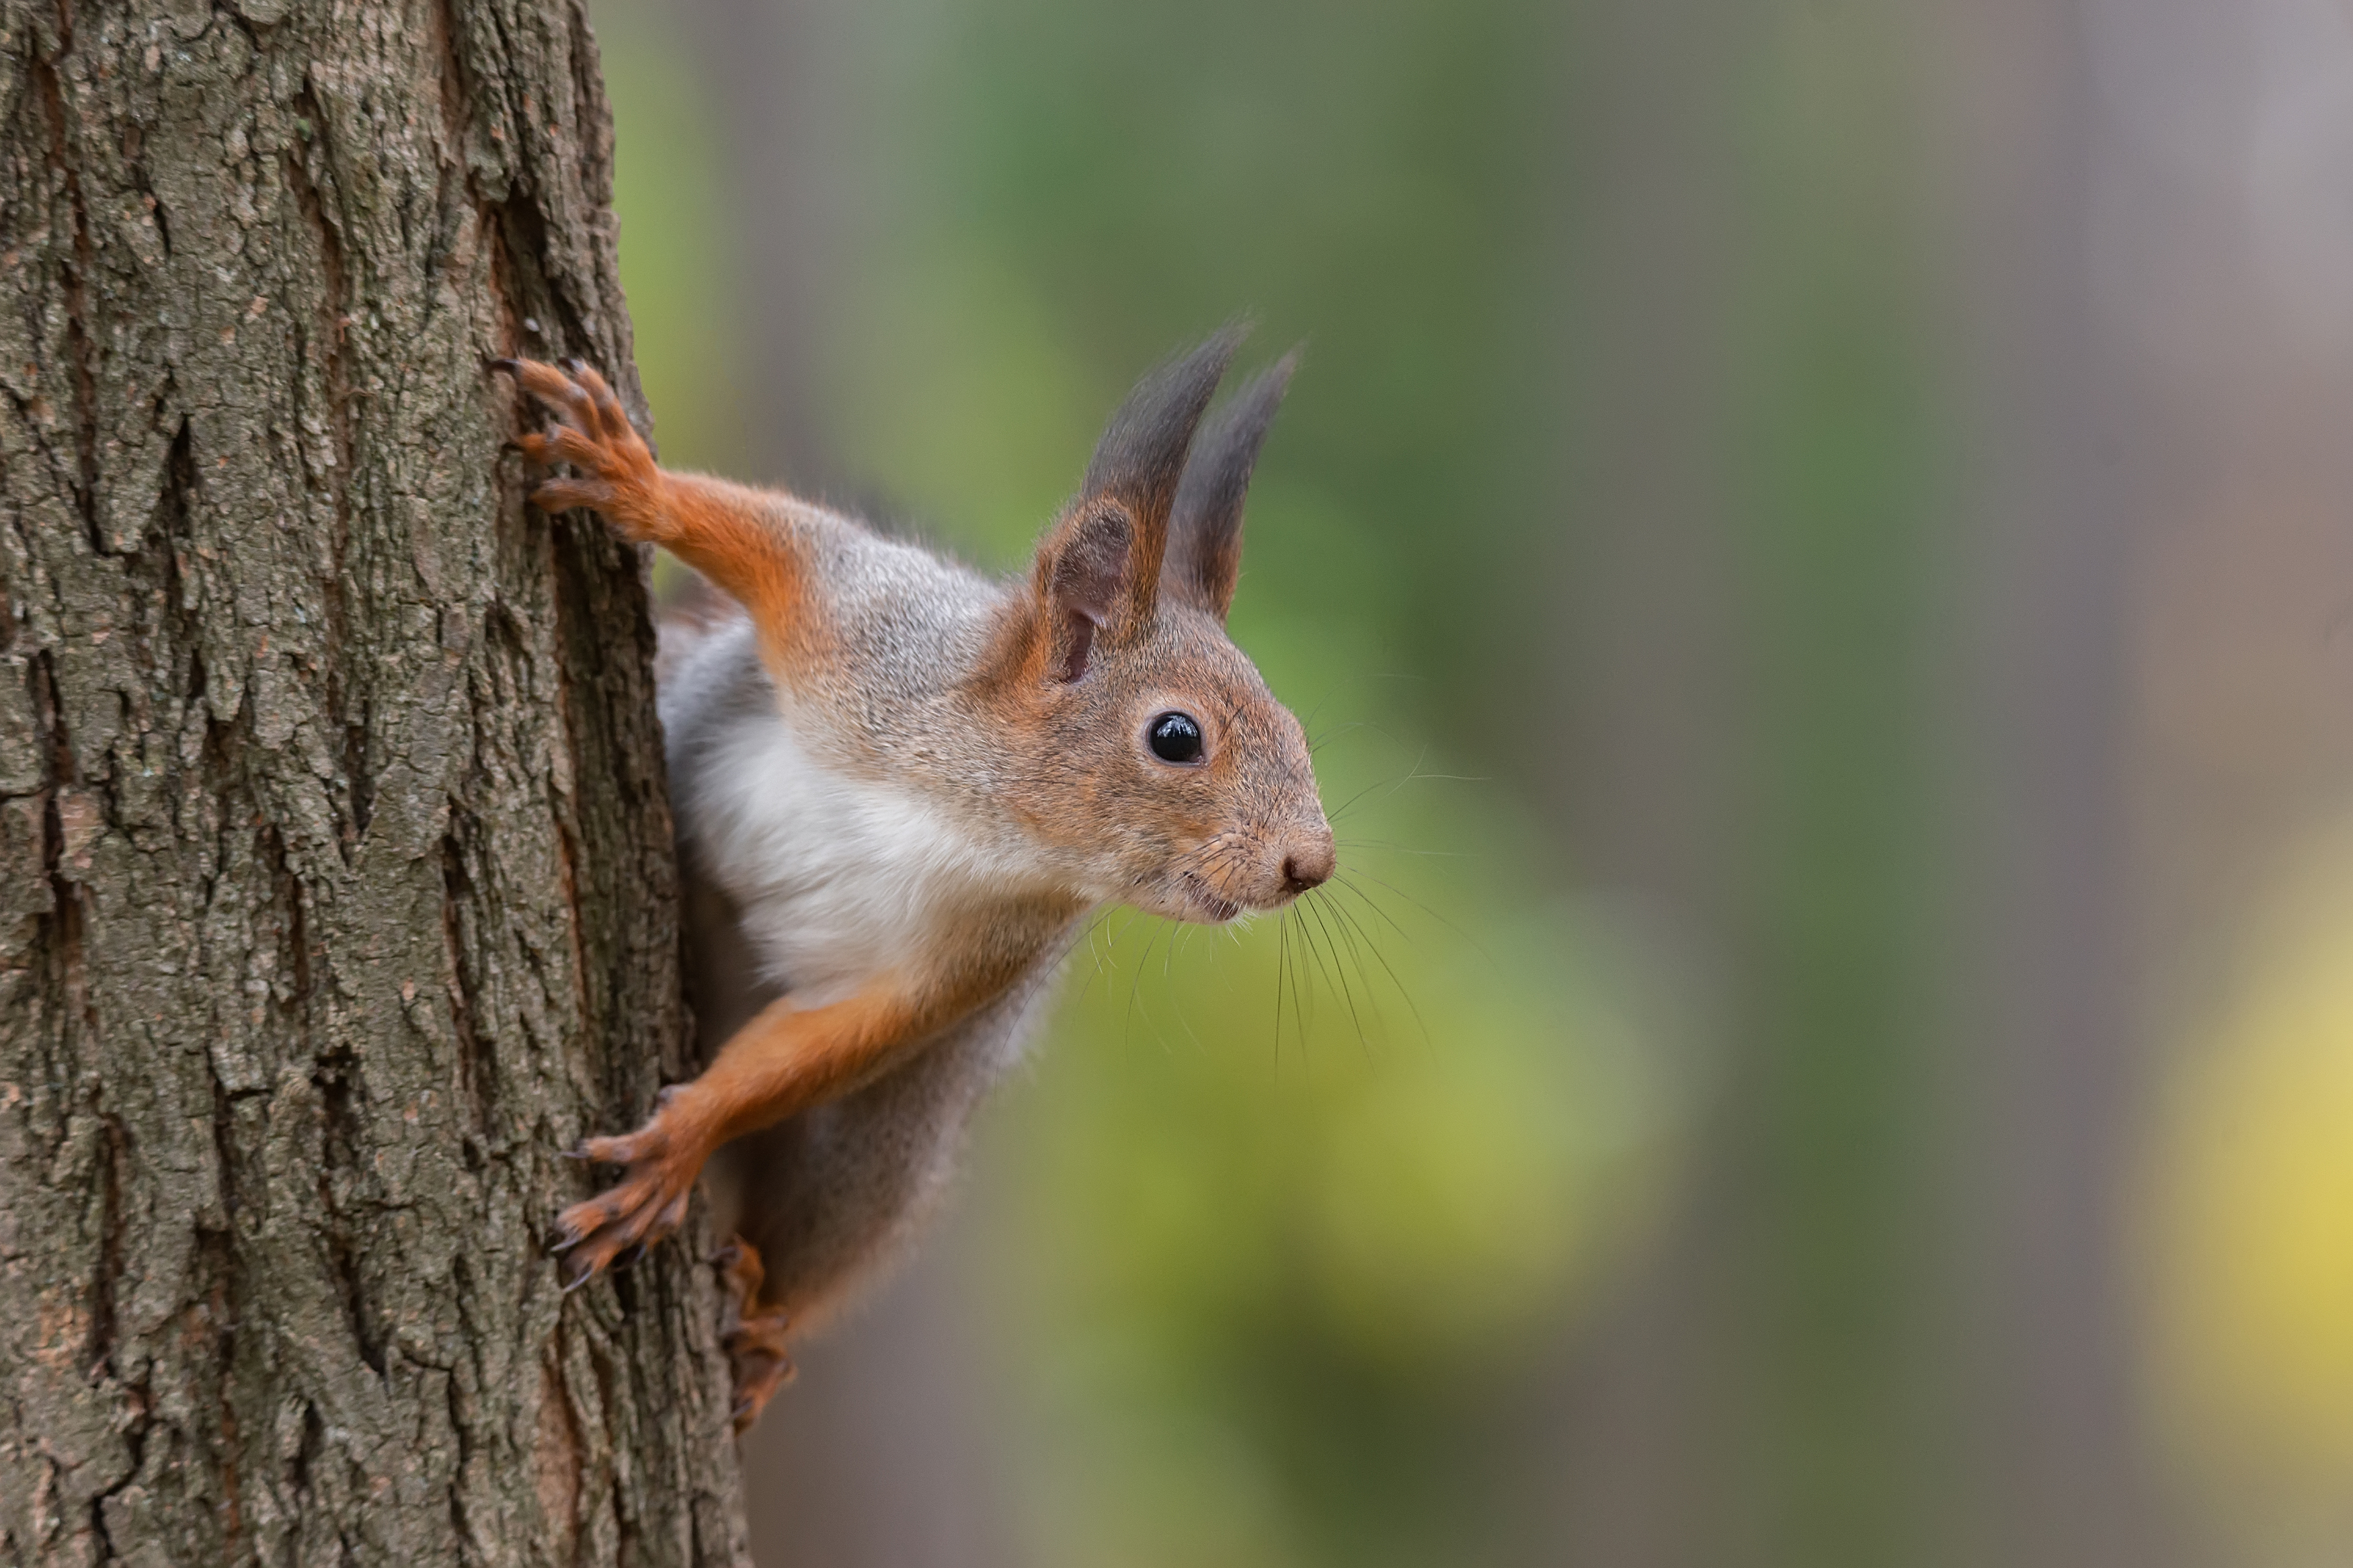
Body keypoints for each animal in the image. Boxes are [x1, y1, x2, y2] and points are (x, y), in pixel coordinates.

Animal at [499, 331, 1337, 1438]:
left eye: (1298, 729)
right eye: (1175, 736)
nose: (1311, 863)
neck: (981, 814)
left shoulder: (977, 958)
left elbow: (838, 1037)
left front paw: (681, 1138)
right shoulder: (872, 634)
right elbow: (779, 547)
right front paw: (634, 479)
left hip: (885, 1155)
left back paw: (764, 1324)